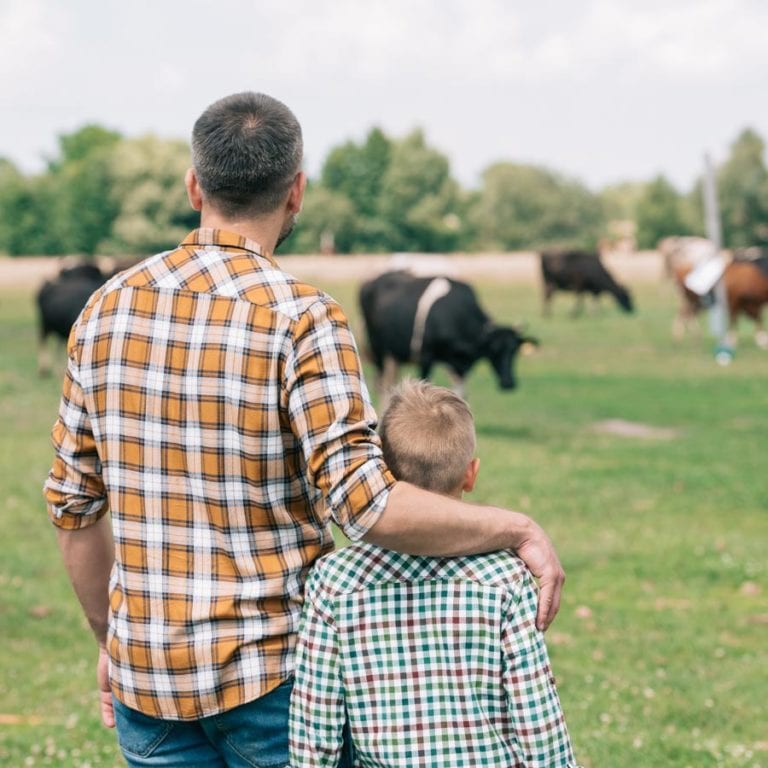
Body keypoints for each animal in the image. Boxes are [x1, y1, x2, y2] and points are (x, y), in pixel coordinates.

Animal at [358, 268, 536, 402]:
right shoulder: (426, 356)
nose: (509, 383)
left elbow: (460, 395)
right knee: (381, 386)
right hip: (377, 348)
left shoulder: (461, 366)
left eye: (514, 350)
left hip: (394, 355)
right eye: (494, 350)